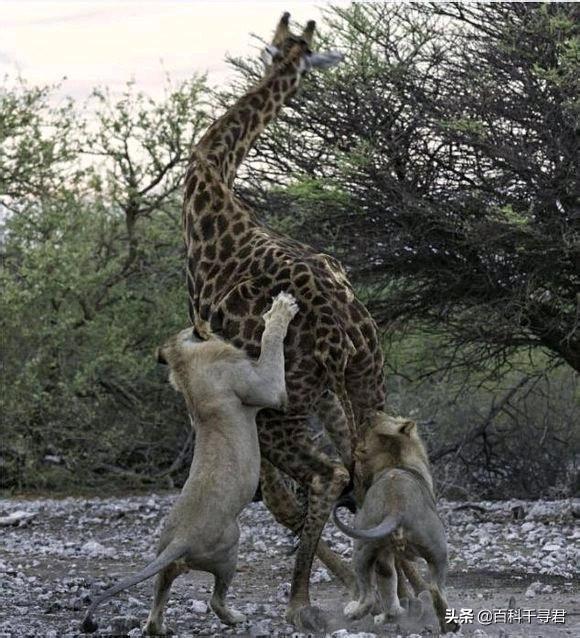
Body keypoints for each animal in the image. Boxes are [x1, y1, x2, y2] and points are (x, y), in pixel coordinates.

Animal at [182, 12, 386, 632]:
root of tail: (344, 330)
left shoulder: (215, 355)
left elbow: (274, 497)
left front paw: (346, 586)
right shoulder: (322, 395)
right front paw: (361, 585)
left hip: (285, 406)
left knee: (327, 474)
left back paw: (302, 602)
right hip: (363, 377)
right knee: (372, 463)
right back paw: (392, 592)